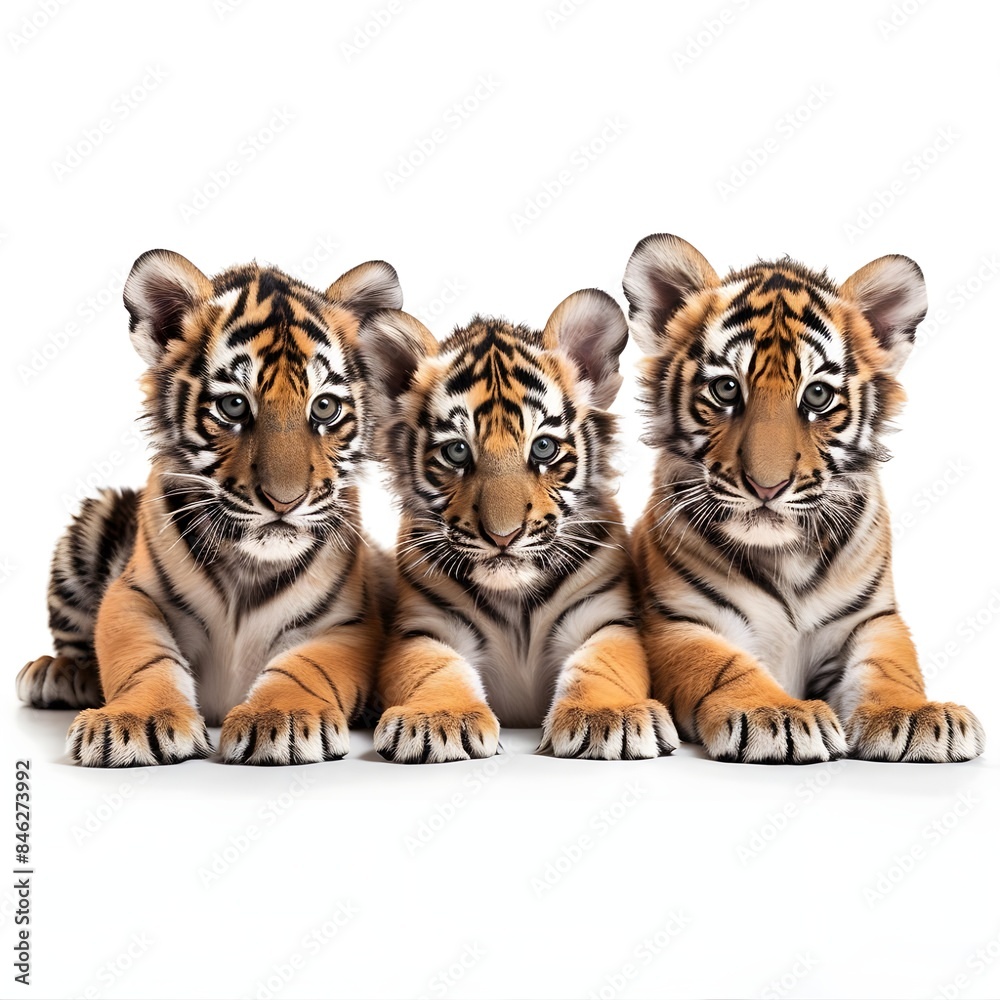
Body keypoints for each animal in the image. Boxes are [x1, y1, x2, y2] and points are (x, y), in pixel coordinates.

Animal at [16, 249, 402, 767]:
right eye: (234, 406)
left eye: (324, 408)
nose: (285, 501)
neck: (250, 566)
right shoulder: (133, 595)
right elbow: (144, 658)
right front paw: (138, 720)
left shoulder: (348, 622)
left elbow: (306, 667)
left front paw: (281, 718)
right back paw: (59, 672)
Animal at [357, 290, 678, 762]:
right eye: (456, 452)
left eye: (543, 447)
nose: (503, 536)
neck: (516, 606)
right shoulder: (423, 627)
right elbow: (434, 669)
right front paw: (438, 719)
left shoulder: (604, 618)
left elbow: (602, 664)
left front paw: (610, 716)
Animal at [623, 233, 985, 764]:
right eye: (726, 388)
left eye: (816, 396)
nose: (767, 486)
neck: (784, 557)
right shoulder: (680, 621)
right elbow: (724, 667)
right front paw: (776, 715)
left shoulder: (871, 619)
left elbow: (890, 668)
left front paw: (917, 716)